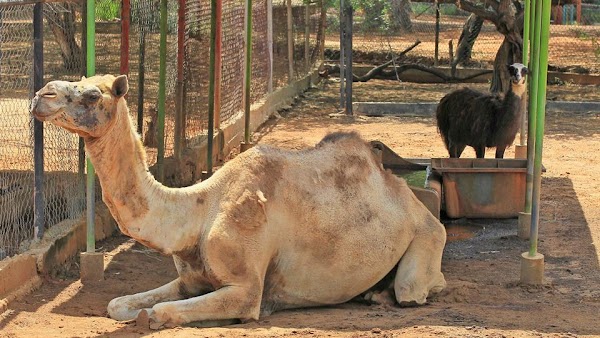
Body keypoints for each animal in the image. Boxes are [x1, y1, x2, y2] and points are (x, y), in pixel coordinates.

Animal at [31, 74, 446, 328]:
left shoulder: (246, 288)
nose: (40, 95)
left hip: (428, 235)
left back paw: (386, 295)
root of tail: (408, 195)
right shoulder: (191, 279)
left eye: (92, 94)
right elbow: (116, 304)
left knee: (414, 289)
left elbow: (162, 311)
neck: (197, 212)